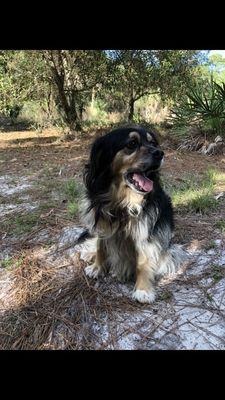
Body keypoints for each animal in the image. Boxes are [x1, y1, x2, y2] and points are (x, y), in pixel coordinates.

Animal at [80, 125, 187, 304]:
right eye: (132, 144)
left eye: (153, 143)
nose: (160, 153)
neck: (122, 201)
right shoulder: (102, 222)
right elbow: (100, 246)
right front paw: (97, 267)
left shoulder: (145, 231)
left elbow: (143, 262)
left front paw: (143, 289)